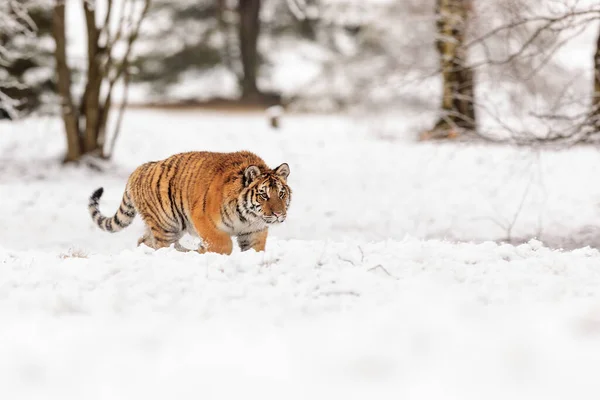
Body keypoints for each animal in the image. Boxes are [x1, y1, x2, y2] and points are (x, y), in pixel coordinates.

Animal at [88, 152, 292, 255]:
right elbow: (223, 244)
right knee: (161, 246)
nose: (278, 214)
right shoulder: (204, 219)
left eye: (281, 194)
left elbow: (256, 250)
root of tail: (138, 169)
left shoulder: (254, 232)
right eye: (263, 195)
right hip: (167, 225)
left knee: (144, 240)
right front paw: (203, 250)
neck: (248, 217)